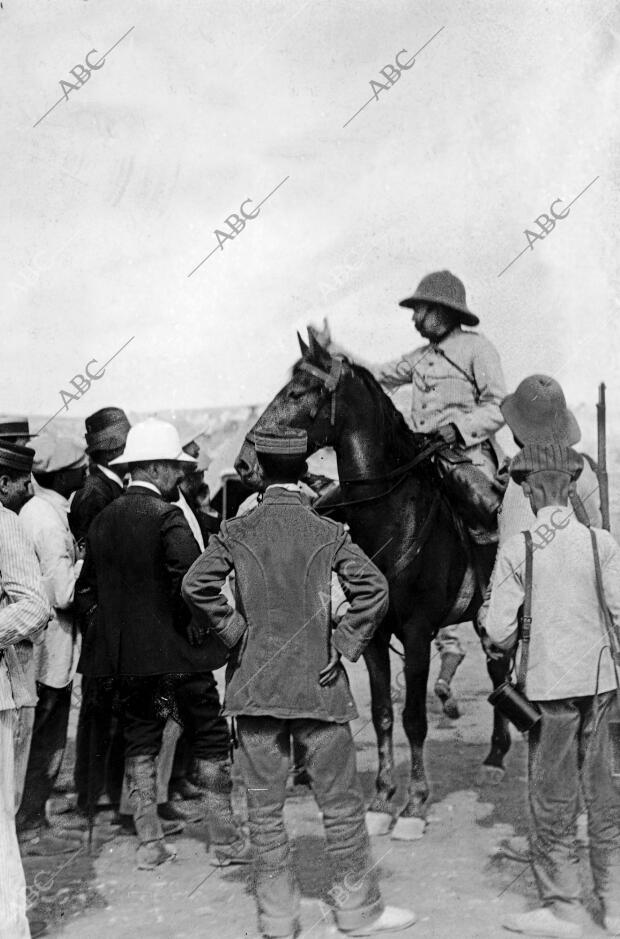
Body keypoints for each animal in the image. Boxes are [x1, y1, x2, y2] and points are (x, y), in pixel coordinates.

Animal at [235, 328, 512, 836]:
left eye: (298, 392)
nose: (247, 463)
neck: (393, 514)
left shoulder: (418, 632)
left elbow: (414, 718)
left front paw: (415, 804)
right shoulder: (376, 634)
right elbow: (383, 715)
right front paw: (383, 799)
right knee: (498, 666)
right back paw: (496, 757)